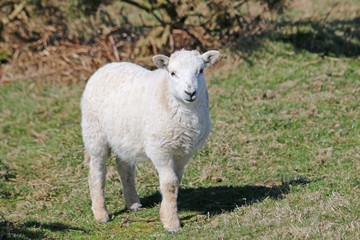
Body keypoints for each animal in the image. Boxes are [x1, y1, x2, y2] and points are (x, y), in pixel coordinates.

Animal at [81, 49, 219, 233]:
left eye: (201, 71)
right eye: (172, 73)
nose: (190, 93)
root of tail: (106, 66)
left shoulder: (183, 152)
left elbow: (176, 181)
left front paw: (165, 212)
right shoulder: (159, 149)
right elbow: (170, 184)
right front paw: (171, 224)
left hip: (125, 136)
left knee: (124, 166)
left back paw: (133, 203)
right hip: (94, 132)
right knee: (97, 172)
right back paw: (101, 213)